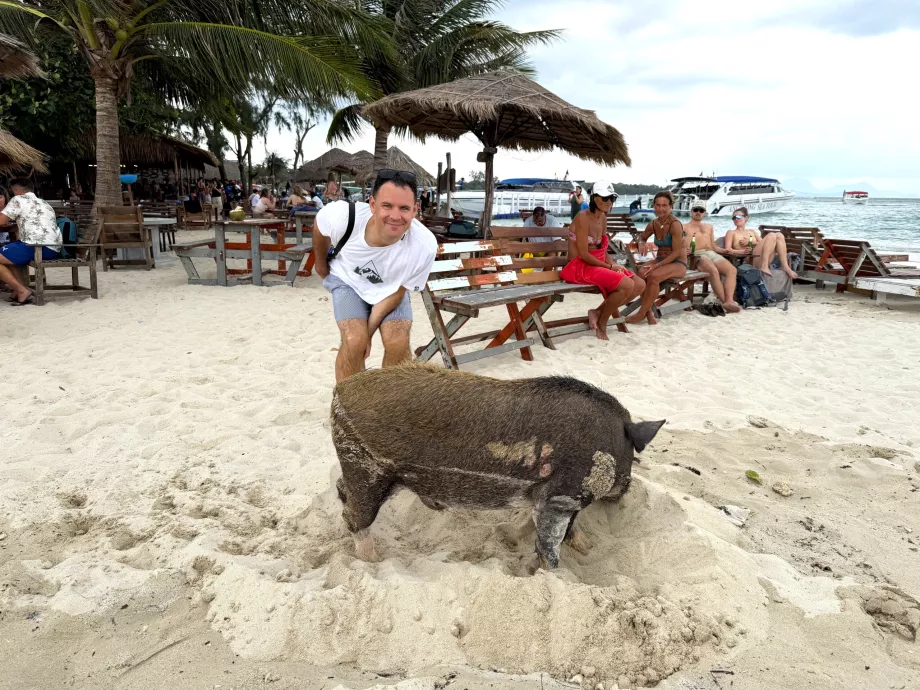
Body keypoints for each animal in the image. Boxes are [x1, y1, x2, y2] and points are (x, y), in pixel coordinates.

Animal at [330, 363, 664, 569]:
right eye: (635, 457)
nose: (627, 491)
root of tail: (339, 390)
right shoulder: (561, 498)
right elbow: (550, 546)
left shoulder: (543, 498)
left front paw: (586, 548)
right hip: (365, 470)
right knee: (354, 518)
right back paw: (372, 562)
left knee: (341, 492)